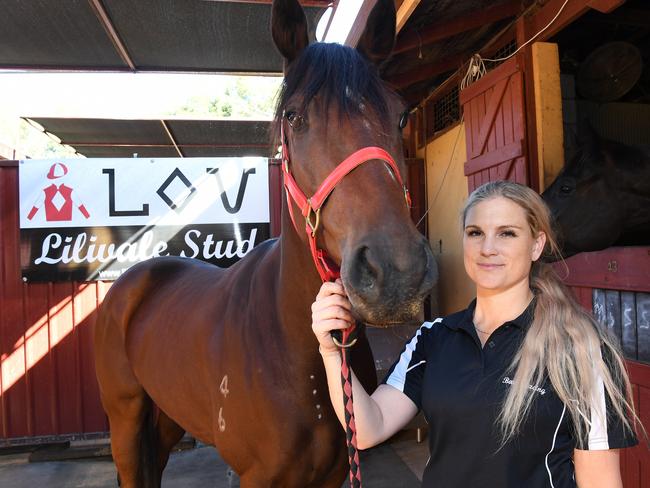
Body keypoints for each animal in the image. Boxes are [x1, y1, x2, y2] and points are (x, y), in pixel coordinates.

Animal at [92, 0, 436, 488]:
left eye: (401, 115)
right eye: (294, 117)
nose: (397, 272)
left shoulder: (333, 474)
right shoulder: (257, 476)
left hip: (167, 416)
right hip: (124, 419)